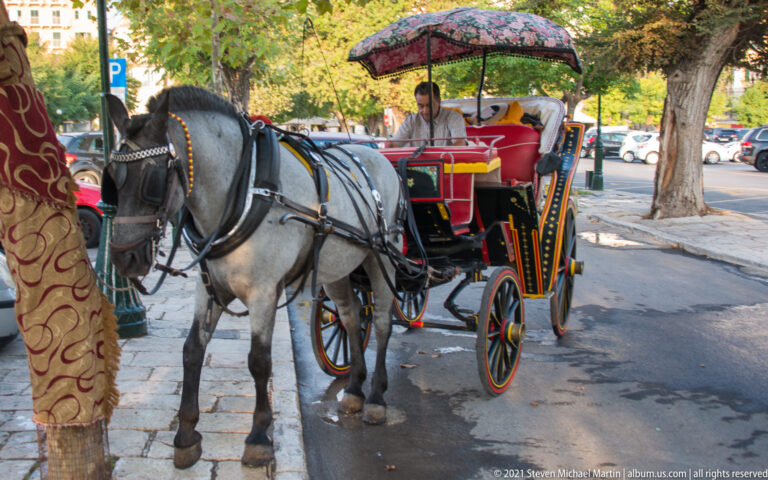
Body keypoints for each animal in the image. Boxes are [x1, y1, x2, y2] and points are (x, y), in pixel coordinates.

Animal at [104, 86, 402, 468]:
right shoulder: (209, 288)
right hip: (338, 266)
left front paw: (259, 437)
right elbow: (192, 350)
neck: (244, 189)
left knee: (381, 322)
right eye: (112, 178)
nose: (123, 257)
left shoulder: (263, 293)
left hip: (382, 257)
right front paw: (186, 436)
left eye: (151, 181)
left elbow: (259, 362)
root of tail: (374, 153)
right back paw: (353, 389)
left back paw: (377, 397)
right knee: (351, 318)